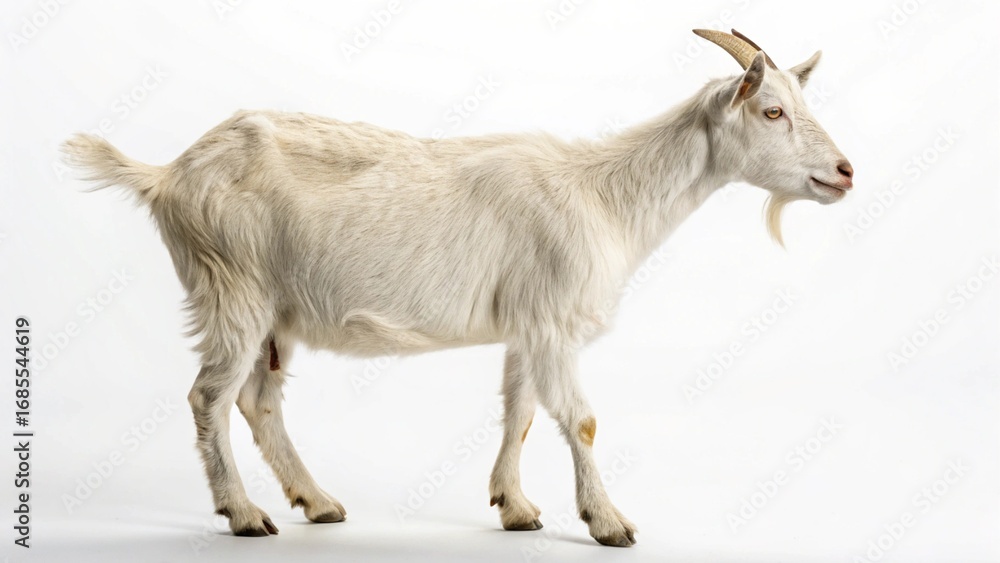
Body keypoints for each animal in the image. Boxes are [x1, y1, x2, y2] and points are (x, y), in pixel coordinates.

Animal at [62, 29, 852, 547]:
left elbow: (520, 411)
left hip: (274, 308)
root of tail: (167, 174)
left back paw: (315, 502)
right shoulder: (554, 319)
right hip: (232, 286)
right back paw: (246, 514)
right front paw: (609, 522)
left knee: (258, 400)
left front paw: (516, 508)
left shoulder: (528, 323)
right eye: (772, 111)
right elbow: (581, 419)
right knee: (209, 396)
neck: (604, 193)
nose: (845, 171)